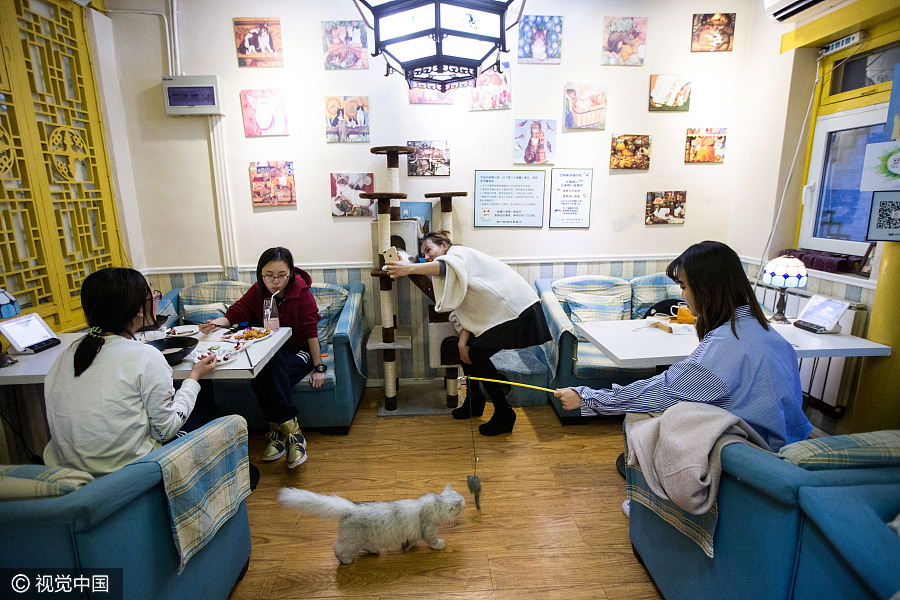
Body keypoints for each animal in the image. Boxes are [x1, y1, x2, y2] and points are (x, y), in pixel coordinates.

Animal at [280, 482, 464, 564]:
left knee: (366, 545)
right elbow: (433, 540)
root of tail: (350, 507)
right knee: (338, 548)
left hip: (363, 538)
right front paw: (440, 545)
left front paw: (406, 548)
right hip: (351, 540)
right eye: (461, 505)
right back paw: (346, 560)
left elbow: (410, 541)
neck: (436, 504)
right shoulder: (428, 530)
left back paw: (374, 551)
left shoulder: (415, 532)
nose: (465, 505)